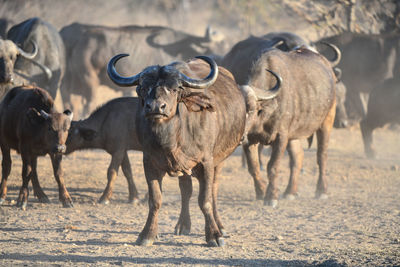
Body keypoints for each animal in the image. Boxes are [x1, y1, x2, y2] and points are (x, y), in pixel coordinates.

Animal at [61, 22, 227, 116]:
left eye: (224, 45)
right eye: (215, 46)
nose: (220, 57)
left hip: (67, 82)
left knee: (68, 100)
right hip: (90, 79)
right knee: (89, 102)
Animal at [108, 55, 247, 248]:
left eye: (174, 89)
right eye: (143, 88)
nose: (156, 107)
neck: (172, 139)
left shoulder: (206, 163)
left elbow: (205, 200)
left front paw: (214, 235)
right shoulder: (149, 163)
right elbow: (155, 200)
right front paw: (147, 234)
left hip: (219, 161)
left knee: (214, 191)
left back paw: (220, 226)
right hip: (184, 169)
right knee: (186, 191)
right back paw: (183, 225)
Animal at [241, 47, 338, 208]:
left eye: (251, 109)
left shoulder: (281, 137)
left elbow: (272, 167)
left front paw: (271, 197)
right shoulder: (249, 140)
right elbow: (253, 167)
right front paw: (261, 191)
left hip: (327, 121)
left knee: (322, 156)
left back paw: (322, 191)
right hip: (294, 134)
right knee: (298, 157)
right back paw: (290, 192)